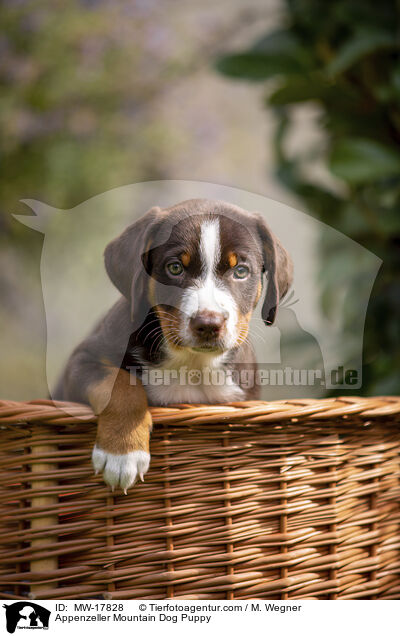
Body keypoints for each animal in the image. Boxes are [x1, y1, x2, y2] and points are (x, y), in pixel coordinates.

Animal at [54, 199, 292, 492]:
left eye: (241, 272)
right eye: (175, 268)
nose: (208, 323)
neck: (190, 364)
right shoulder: (82, 360)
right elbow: (119, 385)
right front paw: (122, 454)